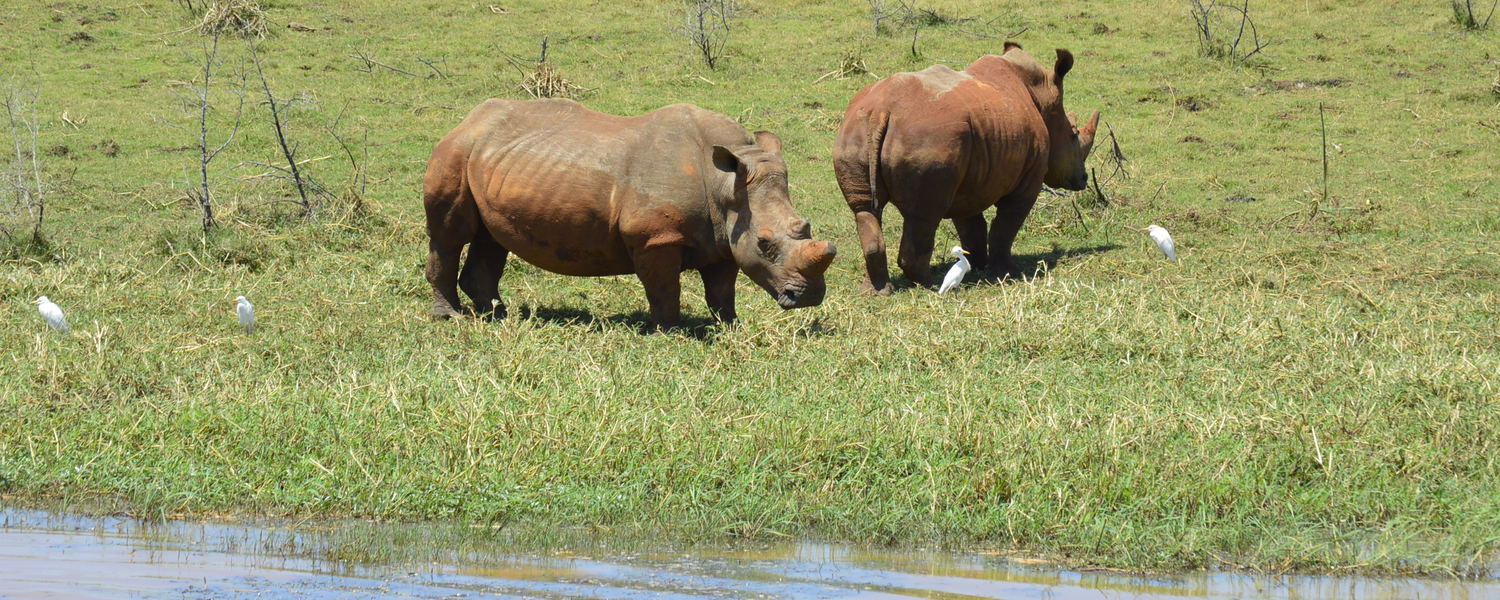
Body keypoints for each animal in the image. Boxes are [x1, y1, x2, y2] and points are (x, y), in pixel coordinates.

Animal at [422, 99, 836, 328]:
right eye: (765, 243)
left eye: (806, 227)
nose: (809, 297)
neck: (724, 185)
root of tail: (468, 119)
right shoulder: (655, 238)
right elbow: (665, 289)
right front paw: (670, 331)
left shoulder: (724, 237)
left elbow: (722, 290)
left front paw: (730, 327)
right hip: (455, 153)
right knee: (450, 234)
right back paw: (452, 317)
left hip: (493, 161)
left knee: (491, 238)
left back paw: (498, 315)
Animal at [833, 43, 1100, 294]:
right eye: (1074, 135)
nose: (1083, 178)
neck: (1042, 98)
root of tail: (881, 111)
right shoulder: (1028, 178)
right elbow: (1006, 226)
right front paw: (1007, 272)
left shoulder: (969, 175)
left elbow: (971, 224)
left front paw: (977, 266)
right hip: (928, 138)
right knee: (924, 215)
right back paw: (928, 284)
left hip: (854, 130)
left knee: (864, 209)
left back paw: (876, 292)